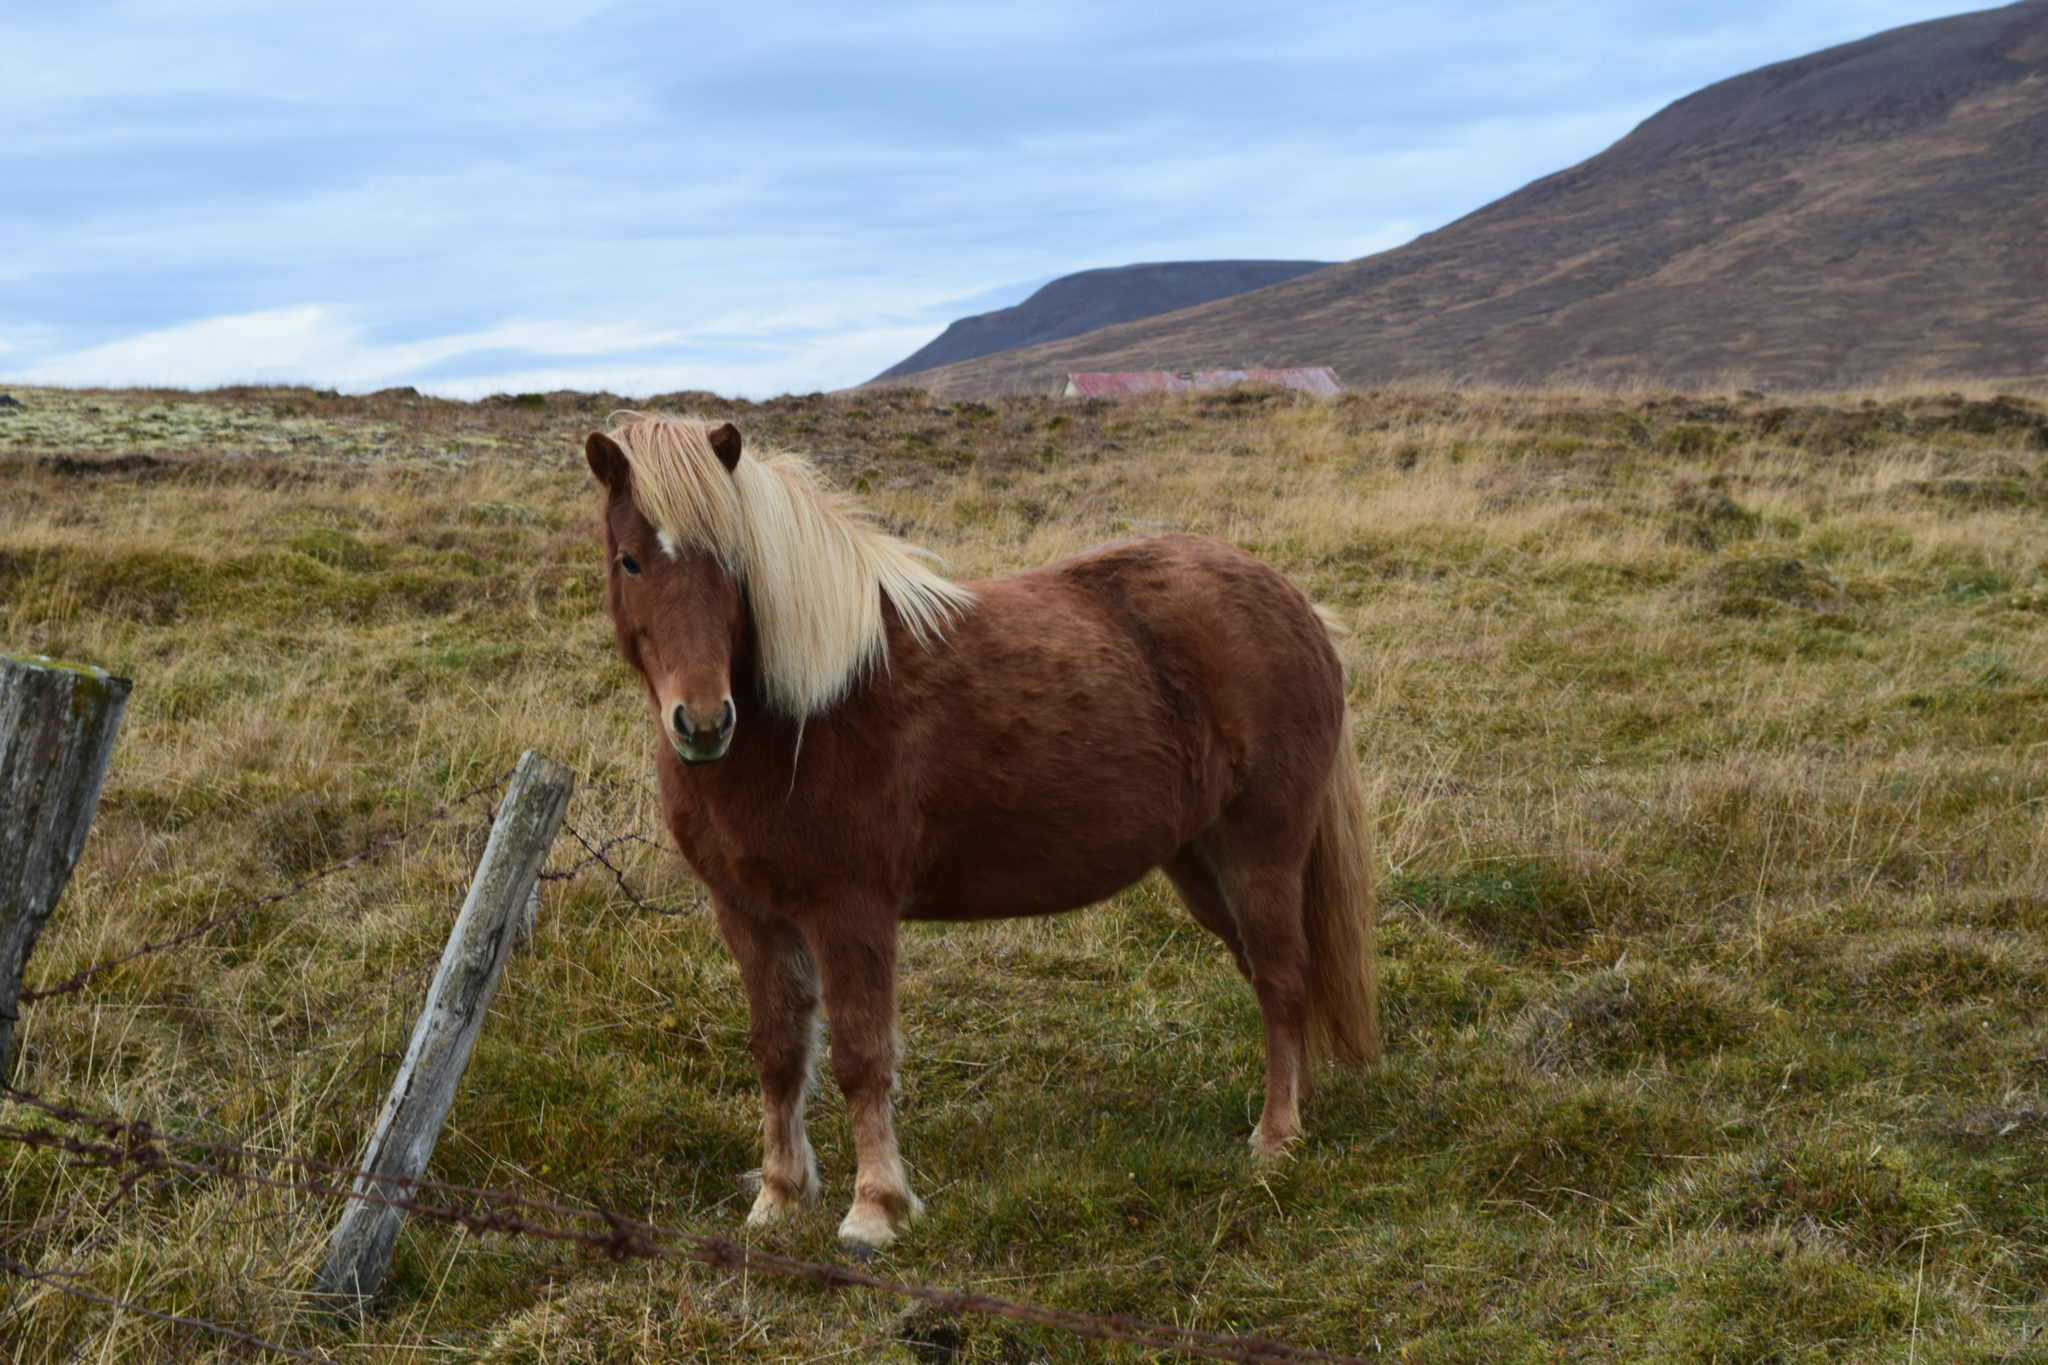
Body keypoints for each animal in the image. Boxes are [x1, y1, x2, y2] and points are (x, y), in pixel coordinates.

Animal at [585, 414, 1379, 1250]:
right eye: (630, 559)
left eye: (732, 562)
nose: (704, 723)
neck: (807, 711)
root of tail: (1296, 604)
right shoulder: (749, 915)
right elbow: (778, 1053)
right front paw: (778, 1196)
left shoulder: (851, 913)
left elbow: (862, 1055)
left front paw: (875, 1208)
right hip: (1200, 864)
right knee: (1270, 976)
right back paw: (1296, 1106)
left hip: (1262, 852)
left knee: (1284, 975)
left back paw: (1276, 1135)